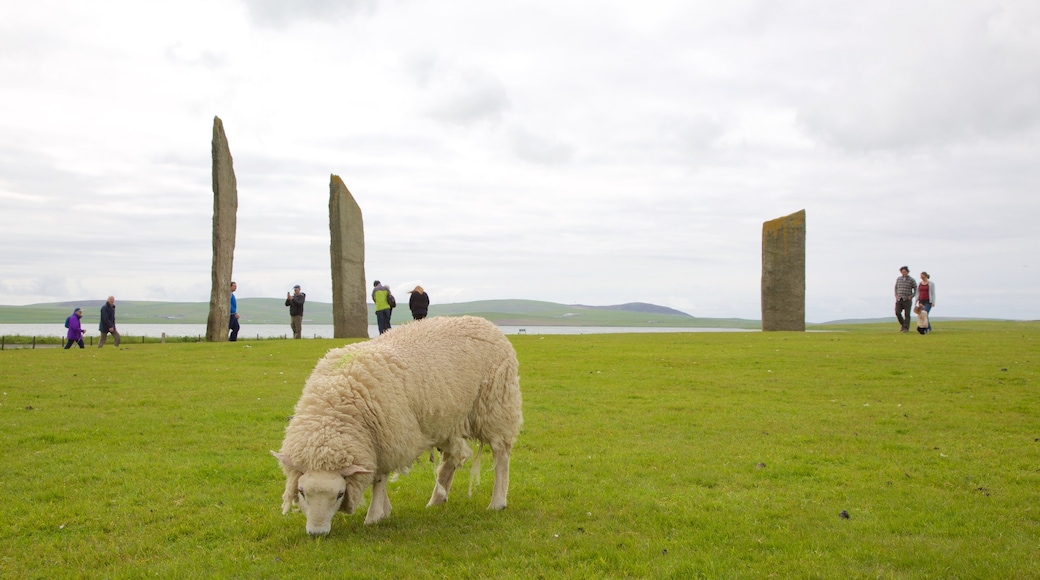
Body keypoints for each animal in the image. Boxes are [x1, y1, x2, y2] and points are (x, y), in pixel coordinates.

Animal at [272, 315, 524, 540]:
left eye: (340, 494)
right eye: (302, 492)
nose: (317, 533)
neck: (334, 407)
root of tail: (485, 322)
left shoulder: (388, 438)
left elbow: (379, 479)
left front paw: (375, 515)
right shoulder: (376, 443)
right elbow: (378, 477)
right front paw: (385, 510)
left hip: (495, 405)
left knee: (501, 455)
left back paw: (497, 502)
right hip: (446, 418)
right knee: (450, 461)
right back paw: (436, 500)